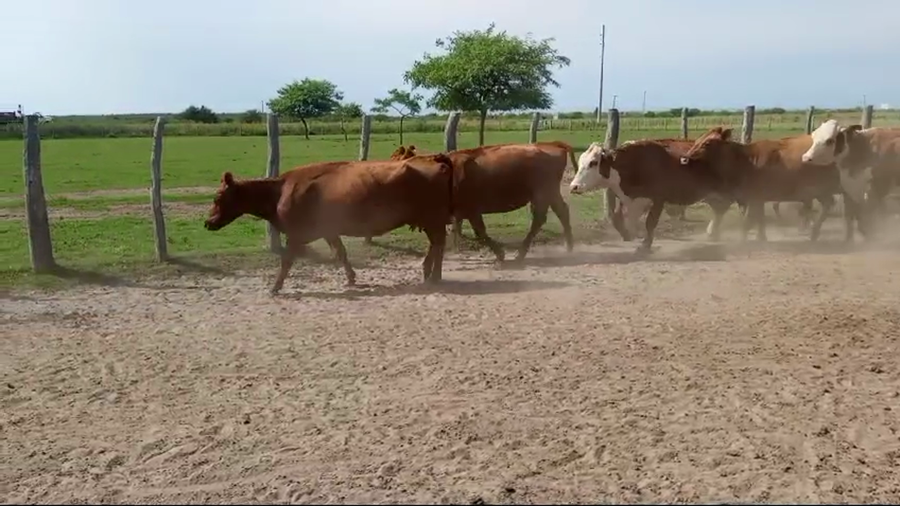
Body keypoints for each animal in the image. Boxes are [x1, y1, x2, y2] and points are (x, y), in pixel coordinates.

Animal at [204, 153, 461, 295]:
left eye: (217, 197)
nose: (207, 222)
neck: (282, 190)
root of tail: (433, 159)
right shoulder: (328, 231)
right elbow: (341, 252)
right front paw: (352, 278)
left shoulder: (296, 234)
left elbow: (286, 261)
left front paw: (275, 287)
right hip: (431, 221)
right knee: (436, 246)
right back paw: (430, 274)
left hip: (433, 219)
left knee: (438, 245)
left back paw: (433, 276)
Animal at [443, 141, 577, 263]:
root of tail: (551, 144)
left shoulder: (472, 210)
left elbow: (480, 231)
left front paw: (500, 254)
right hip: (551, 194)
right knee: (562, 212)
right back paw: (568, 248)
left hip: (543, 194)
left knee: (539, 219)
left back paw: (520, 254)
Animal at [570, 139, 733, 252]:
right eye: (581, 161)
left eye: (593, 162)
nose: (574, 186)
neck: (636, 163)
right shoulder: (631, 198)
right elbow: (616, 217)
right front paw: (627, 235)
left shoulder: (658, 199)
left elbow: (650, 223)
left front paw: (645, 245)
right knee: (720, 209)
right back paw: (713, 233)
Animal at [680, 122, 873, 243]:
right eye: (699, 139)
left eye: (707, 143)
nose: (684, 158)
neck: (747, 160)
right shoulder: (757, 199)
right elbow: (759, 219)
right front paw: (761, 238)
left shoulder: (754, 198)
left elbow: (749, 221)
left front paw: (745, 240)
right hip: (823, 190)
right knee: (835, 207)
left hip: (846, 187)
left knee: (852, 209)